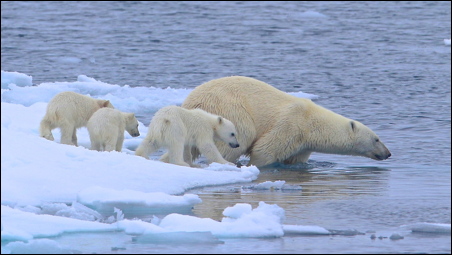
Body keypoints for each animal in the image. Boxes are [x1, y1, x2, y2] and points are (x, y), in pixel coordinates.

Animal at [182, 75, 390, 167]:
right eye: (376, 138)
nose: (388, 153)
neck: (312, 123)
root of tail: (191, 101)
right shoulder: (291, 124)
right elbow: (264, 150)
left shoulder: (303, 145)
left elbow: (294, 159)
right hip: (229, 108)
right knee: (241, 135)